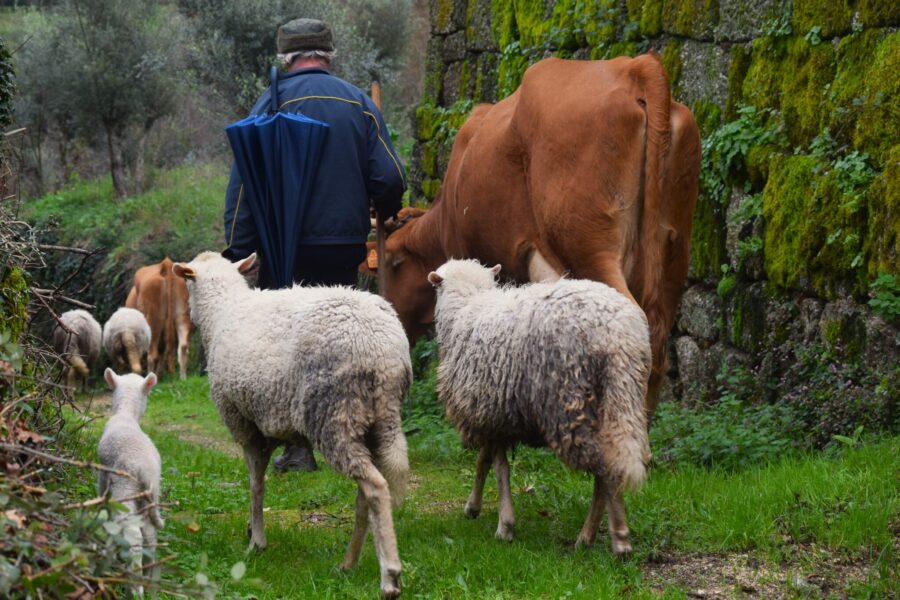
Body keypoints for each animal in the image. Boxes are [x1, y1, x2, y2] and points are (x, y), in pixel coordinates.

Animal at [97, 366, 164, 592]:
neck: (125, 415)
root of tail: (146, 472)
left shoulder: (103, 473)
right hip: (149, 496)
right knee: (150, 535)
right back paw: (150, 582)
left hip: (125, 488)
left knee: (134, 534)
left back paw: (134, 585)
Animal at [173, 253, 412, 600]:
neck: (223, 311)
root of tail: (385, 350)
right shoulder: (267, 426)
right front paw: (252, 530)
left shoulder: (246, 425)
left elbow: (256, 484)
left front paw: (256, 541)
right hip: (379, 420)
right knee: (365, 494)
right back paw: (348, 563)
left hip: (335, 414)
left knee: (376, 488)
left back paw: (389, 577)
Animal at [426, 260, 652, 556]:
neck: (467, 306)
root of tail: (618, 339)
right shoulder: (494, 415)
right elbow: (484, 461)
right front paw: (474, 507)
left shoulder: (490, 413)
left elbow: (499, 469)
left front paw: (505, 526)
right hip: (623, 402)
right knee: (613, 463)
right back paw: (595, 535)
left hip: (571, 406)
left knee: (605, 470)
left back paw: (611, 538)